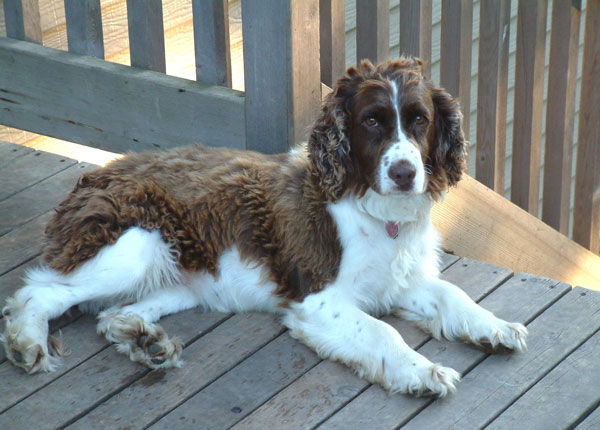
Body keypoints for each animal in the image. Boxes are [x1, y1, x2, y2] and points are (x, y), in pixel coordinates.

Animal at [0, 59, 524, 396]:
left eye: (419, 120)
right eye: (372, 122)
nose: (403, 173)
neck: (378, 215)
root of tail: (94, 176)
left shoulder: (402, 280)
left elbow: (453, 295)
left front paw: (493, 327)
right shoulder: (316, 299)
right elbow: (381, 333)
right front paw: (423, 371)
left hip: (181, 278)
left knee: (110, 313)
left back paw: (144, 341)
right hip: (135, 245)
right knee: (37, 291)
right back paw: (28, 344)